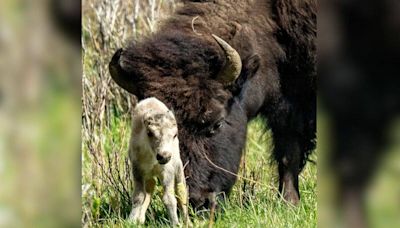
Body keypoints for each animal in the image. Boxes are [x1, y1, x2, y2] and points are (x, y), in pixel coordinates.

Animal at [108, 0, 316, 209]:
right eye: (152, 132)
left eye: (218, 123)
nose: (199, 201)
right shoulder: (286, 108)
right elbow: (287, 151)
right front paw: (289, 202)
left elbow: (290, 153)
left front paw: (289, 203)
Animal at [129, 96, 190, 226]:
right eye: (150, 133)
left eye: (175, 134)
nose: (164, 156)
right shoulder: (137, 169)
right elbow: (139, 196)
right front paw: (131, 220)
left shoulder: (167, 171)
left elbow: (169, 198)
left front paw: (175, 223)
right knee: (150, 186)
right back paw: (140, 218)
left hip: (178, 167)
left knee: (181, 191)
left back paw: (188, 222)